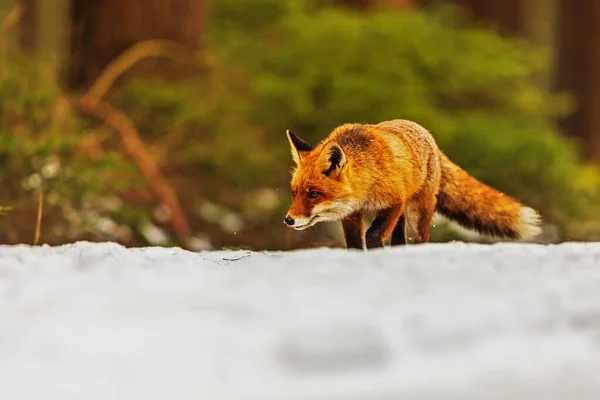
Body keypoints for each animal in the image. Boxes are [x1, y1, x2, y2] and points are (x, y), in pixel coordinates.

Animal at [284, 119, 540, 248]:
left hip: (417, 211)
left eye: (314, 194)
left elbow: (374, 235)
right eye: (294, 193)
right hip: (403, 215)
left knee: (419, 237)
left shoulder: (394, 202)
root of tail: (428, 135)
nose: (288, 220)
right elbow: (355, 243)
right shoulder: (352, 214)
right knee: (399, 238)